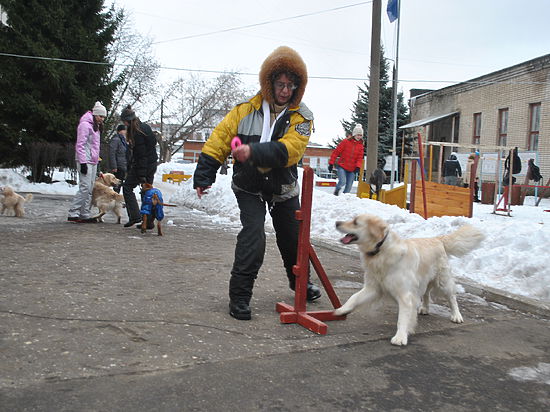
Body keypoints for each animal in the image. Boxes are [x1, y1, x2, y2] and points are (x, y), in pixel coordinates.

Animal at [334, 214, 486, 346]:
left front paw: (400, 337)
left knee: (452, 298)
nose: (337, 223)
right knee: (426, 294)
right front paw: (340, 310)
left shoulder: (405, 295)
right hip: (423, 280)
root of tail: (437, 239)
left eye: (355, 222)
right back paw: (424, 308)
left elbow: (403, 318)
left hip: (443, 281)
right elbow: (353, 298)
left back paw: (456, 316)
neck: (381, 250)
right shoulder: (373, 288)